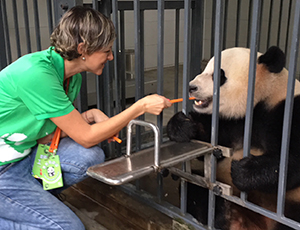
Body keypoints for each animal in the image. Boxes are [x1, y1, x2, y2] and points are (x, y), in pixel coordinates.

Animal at [166, 45, 300, 229]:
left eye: (219, 75)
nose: (191, 87)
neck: (262, 98)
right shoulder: (235, 122)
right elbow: (215, 145)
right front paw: (182, 125)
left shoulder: (287, 111)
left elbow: (292, 160)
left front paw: (244, 170)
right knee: (195, 186)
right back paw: (222, 212)